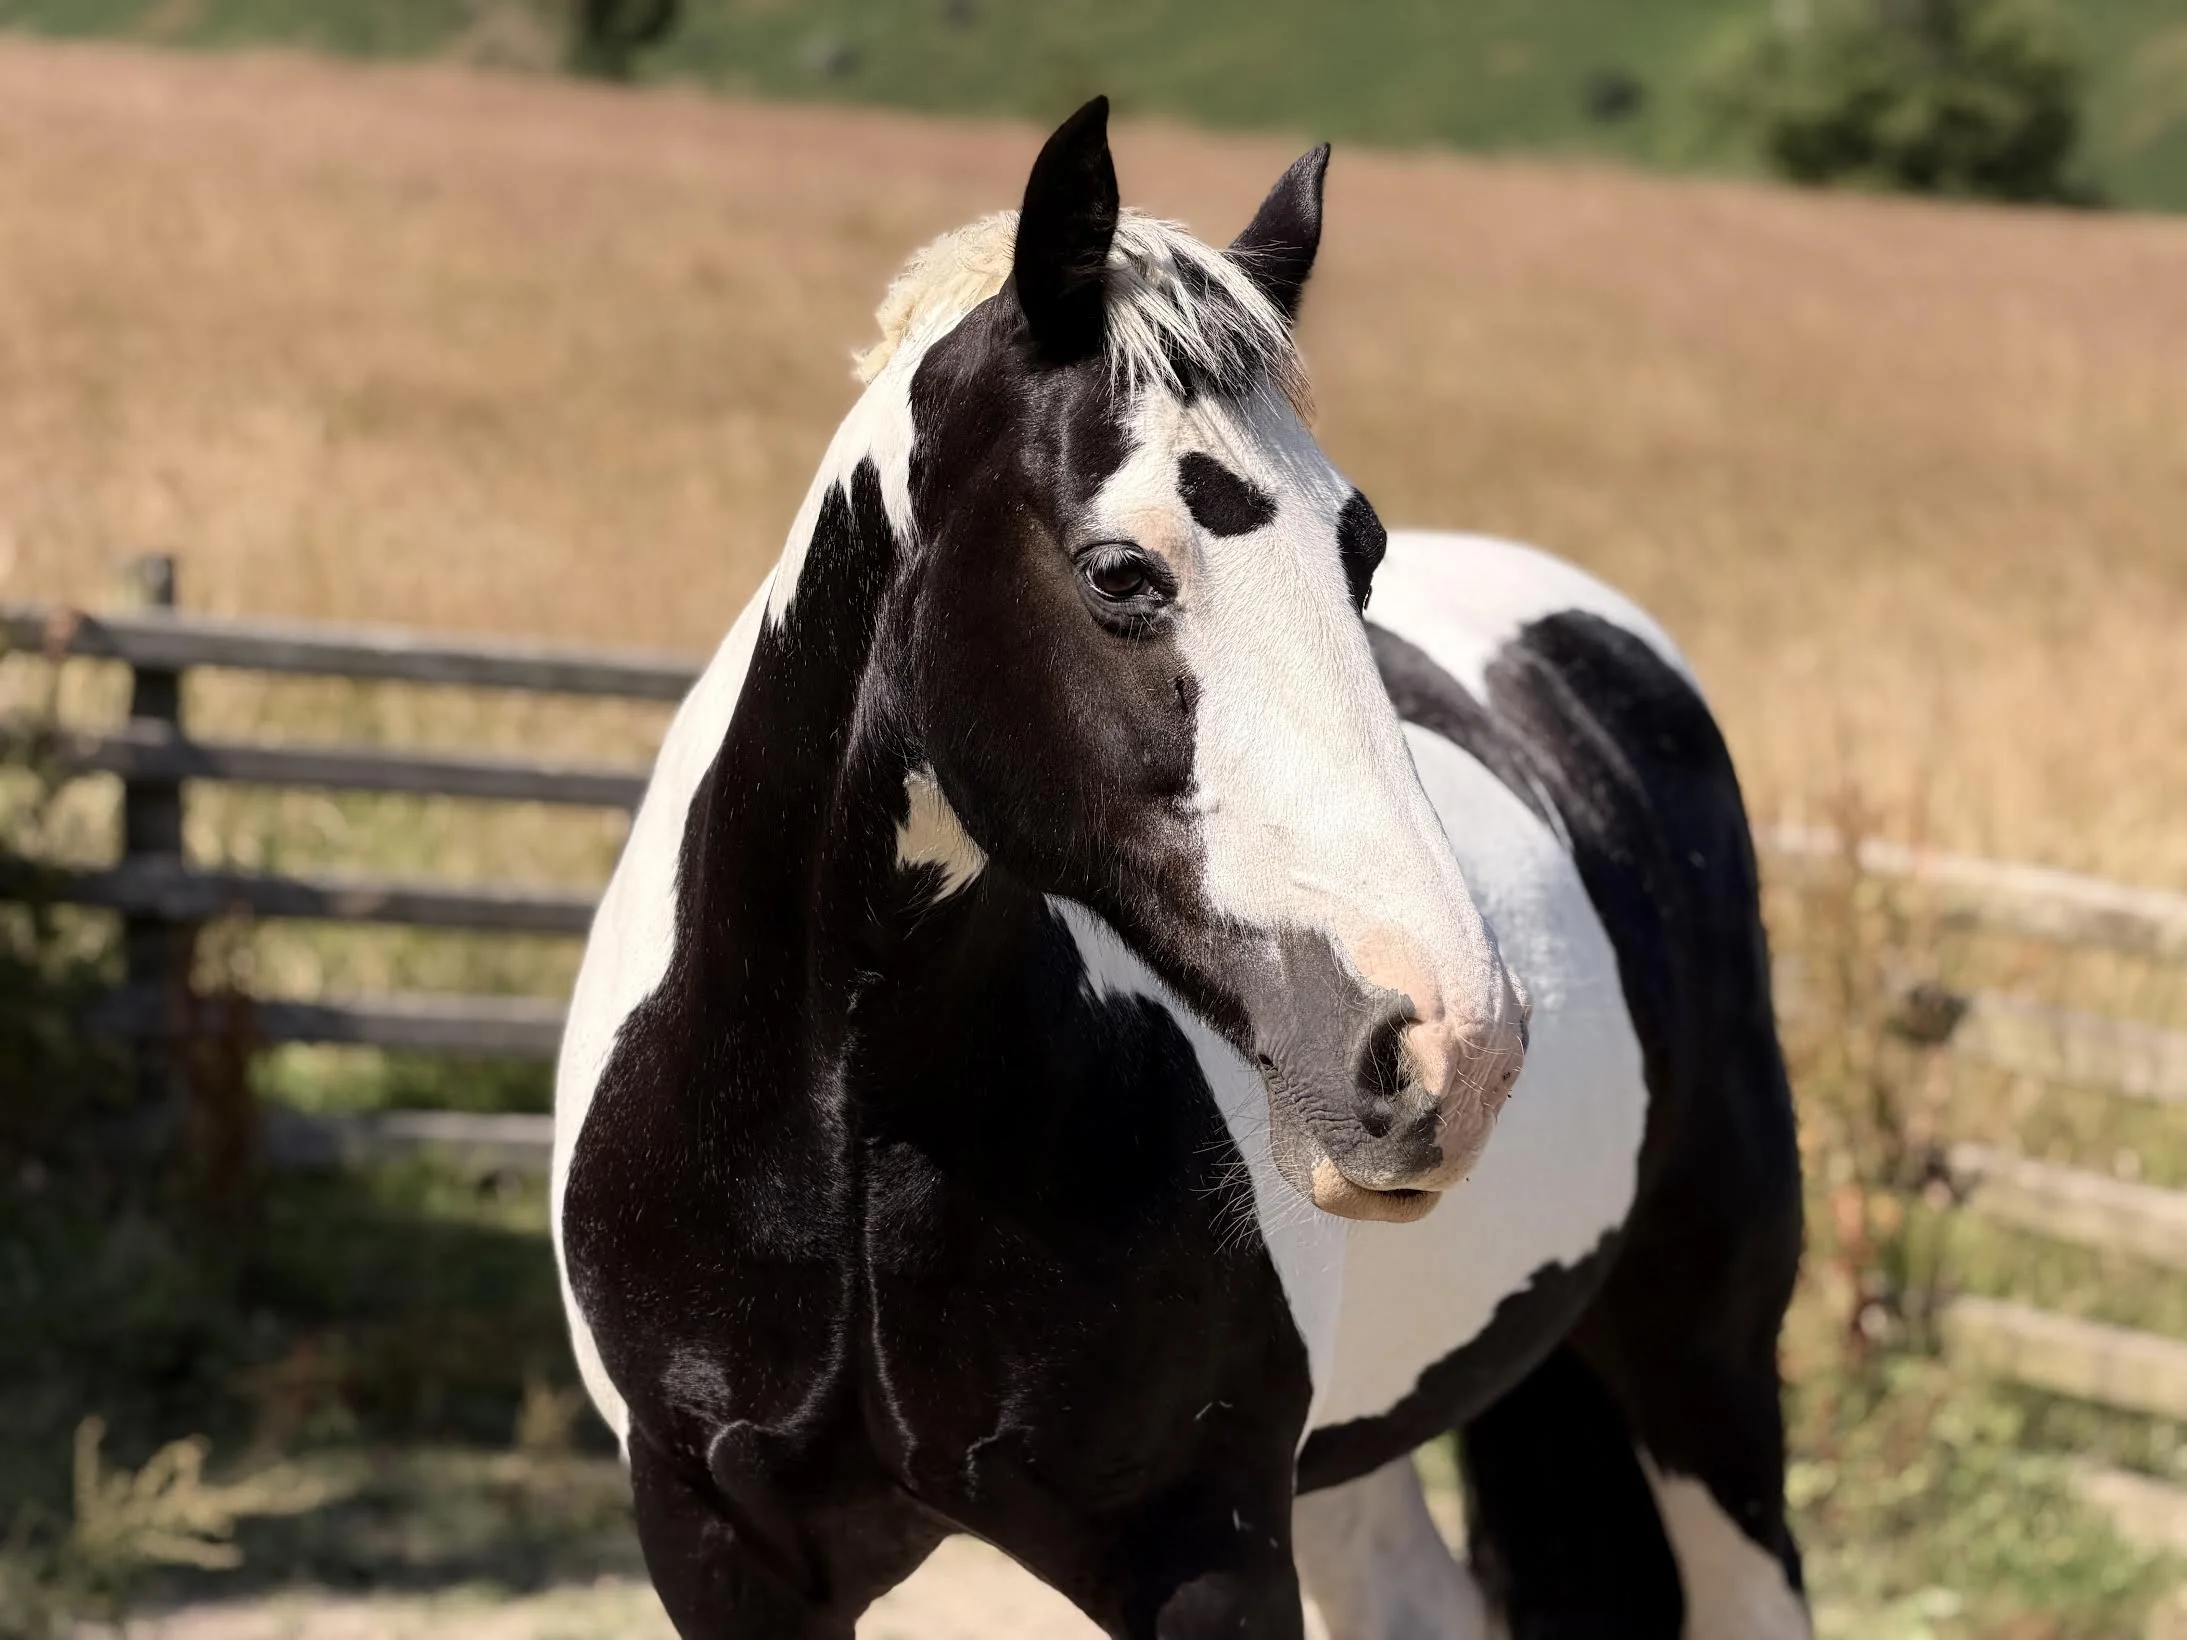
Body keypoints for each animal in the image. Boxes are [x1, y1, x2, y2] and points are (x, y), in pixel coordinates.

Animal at [552, 97, 1807, 1640]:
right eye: (1118, 573)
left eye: (1358, 550)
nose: (1451, 1050)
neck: (847, 1117)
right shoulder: (720, 1546)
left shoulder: (1201, 1551)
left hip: (1705, 1368)